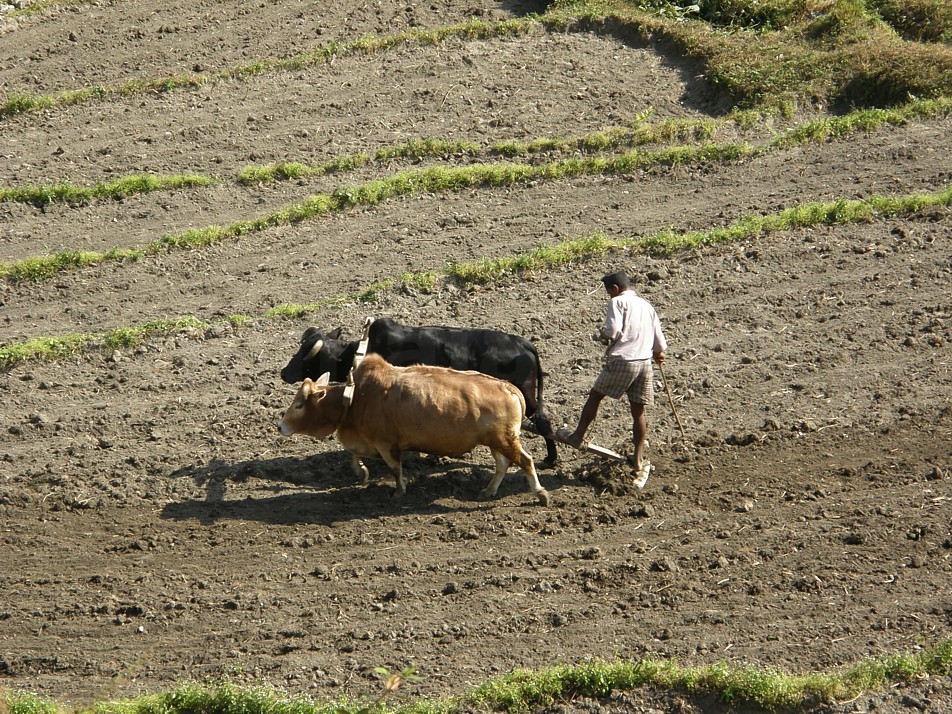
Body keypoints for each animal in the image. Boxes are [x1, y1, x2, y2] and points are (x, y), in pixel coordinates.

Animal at [277, 353, 550, 506]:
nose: (280, 426)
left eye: (299, 404)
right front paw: (361, 472)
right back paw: (489, 490)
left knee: (525, 461)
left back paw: (540, 493)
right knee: (503, 464)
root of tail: (508, 387)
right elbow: (354, 455)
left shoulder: (386, 444)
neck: (354, 397)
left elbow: (395, 469)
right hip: (496, 441)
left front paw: (398, 492)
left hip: (505, 440)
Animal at [279, 317, 558, 467]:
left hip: (527, 397)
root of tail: (524, 344)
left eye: (306, 357)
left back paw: (550, 459)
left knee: (543, 422)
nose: (283, 372)